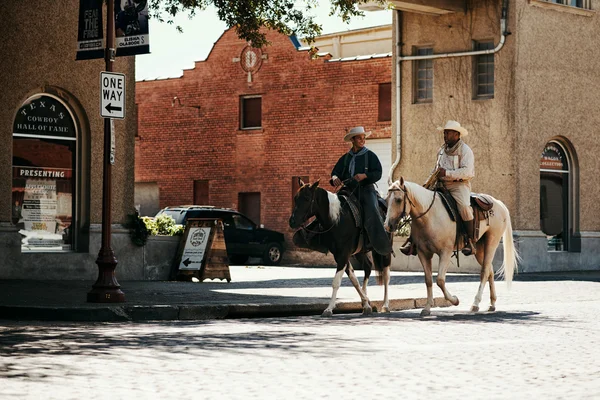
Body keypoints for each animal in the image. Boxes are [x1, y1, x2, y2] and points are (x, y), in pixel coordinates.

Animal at [290, 180, 394, 318]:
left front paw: (329, 309)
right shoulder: (340, 255)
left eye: (307, 198)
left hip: (384, 250)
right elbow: (354, 279)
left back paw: (386, 305)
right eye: (295, 198)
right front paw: (366, 303)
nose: (292, 221)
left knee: (386, 275)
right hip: (360, 252)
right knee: (367, 267)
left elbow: (336, 282)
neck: (337, 219)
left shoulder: (343, 255)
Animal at [386, 178, 516, 316]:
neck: (430, 216)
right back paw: (492, 303)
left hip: (492, 242)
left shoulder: (445, 253)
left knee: (485, 272)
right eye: (386, 199)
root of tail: (498, 203)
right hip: (480, 248)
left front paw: (454, 300)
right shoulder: (423, 253)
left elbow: (440, 280)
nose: (388, 225)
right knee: (490, 270)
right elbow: (428, 280)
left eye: (398, 200)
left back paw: (475, 304)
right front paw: (427, 307)